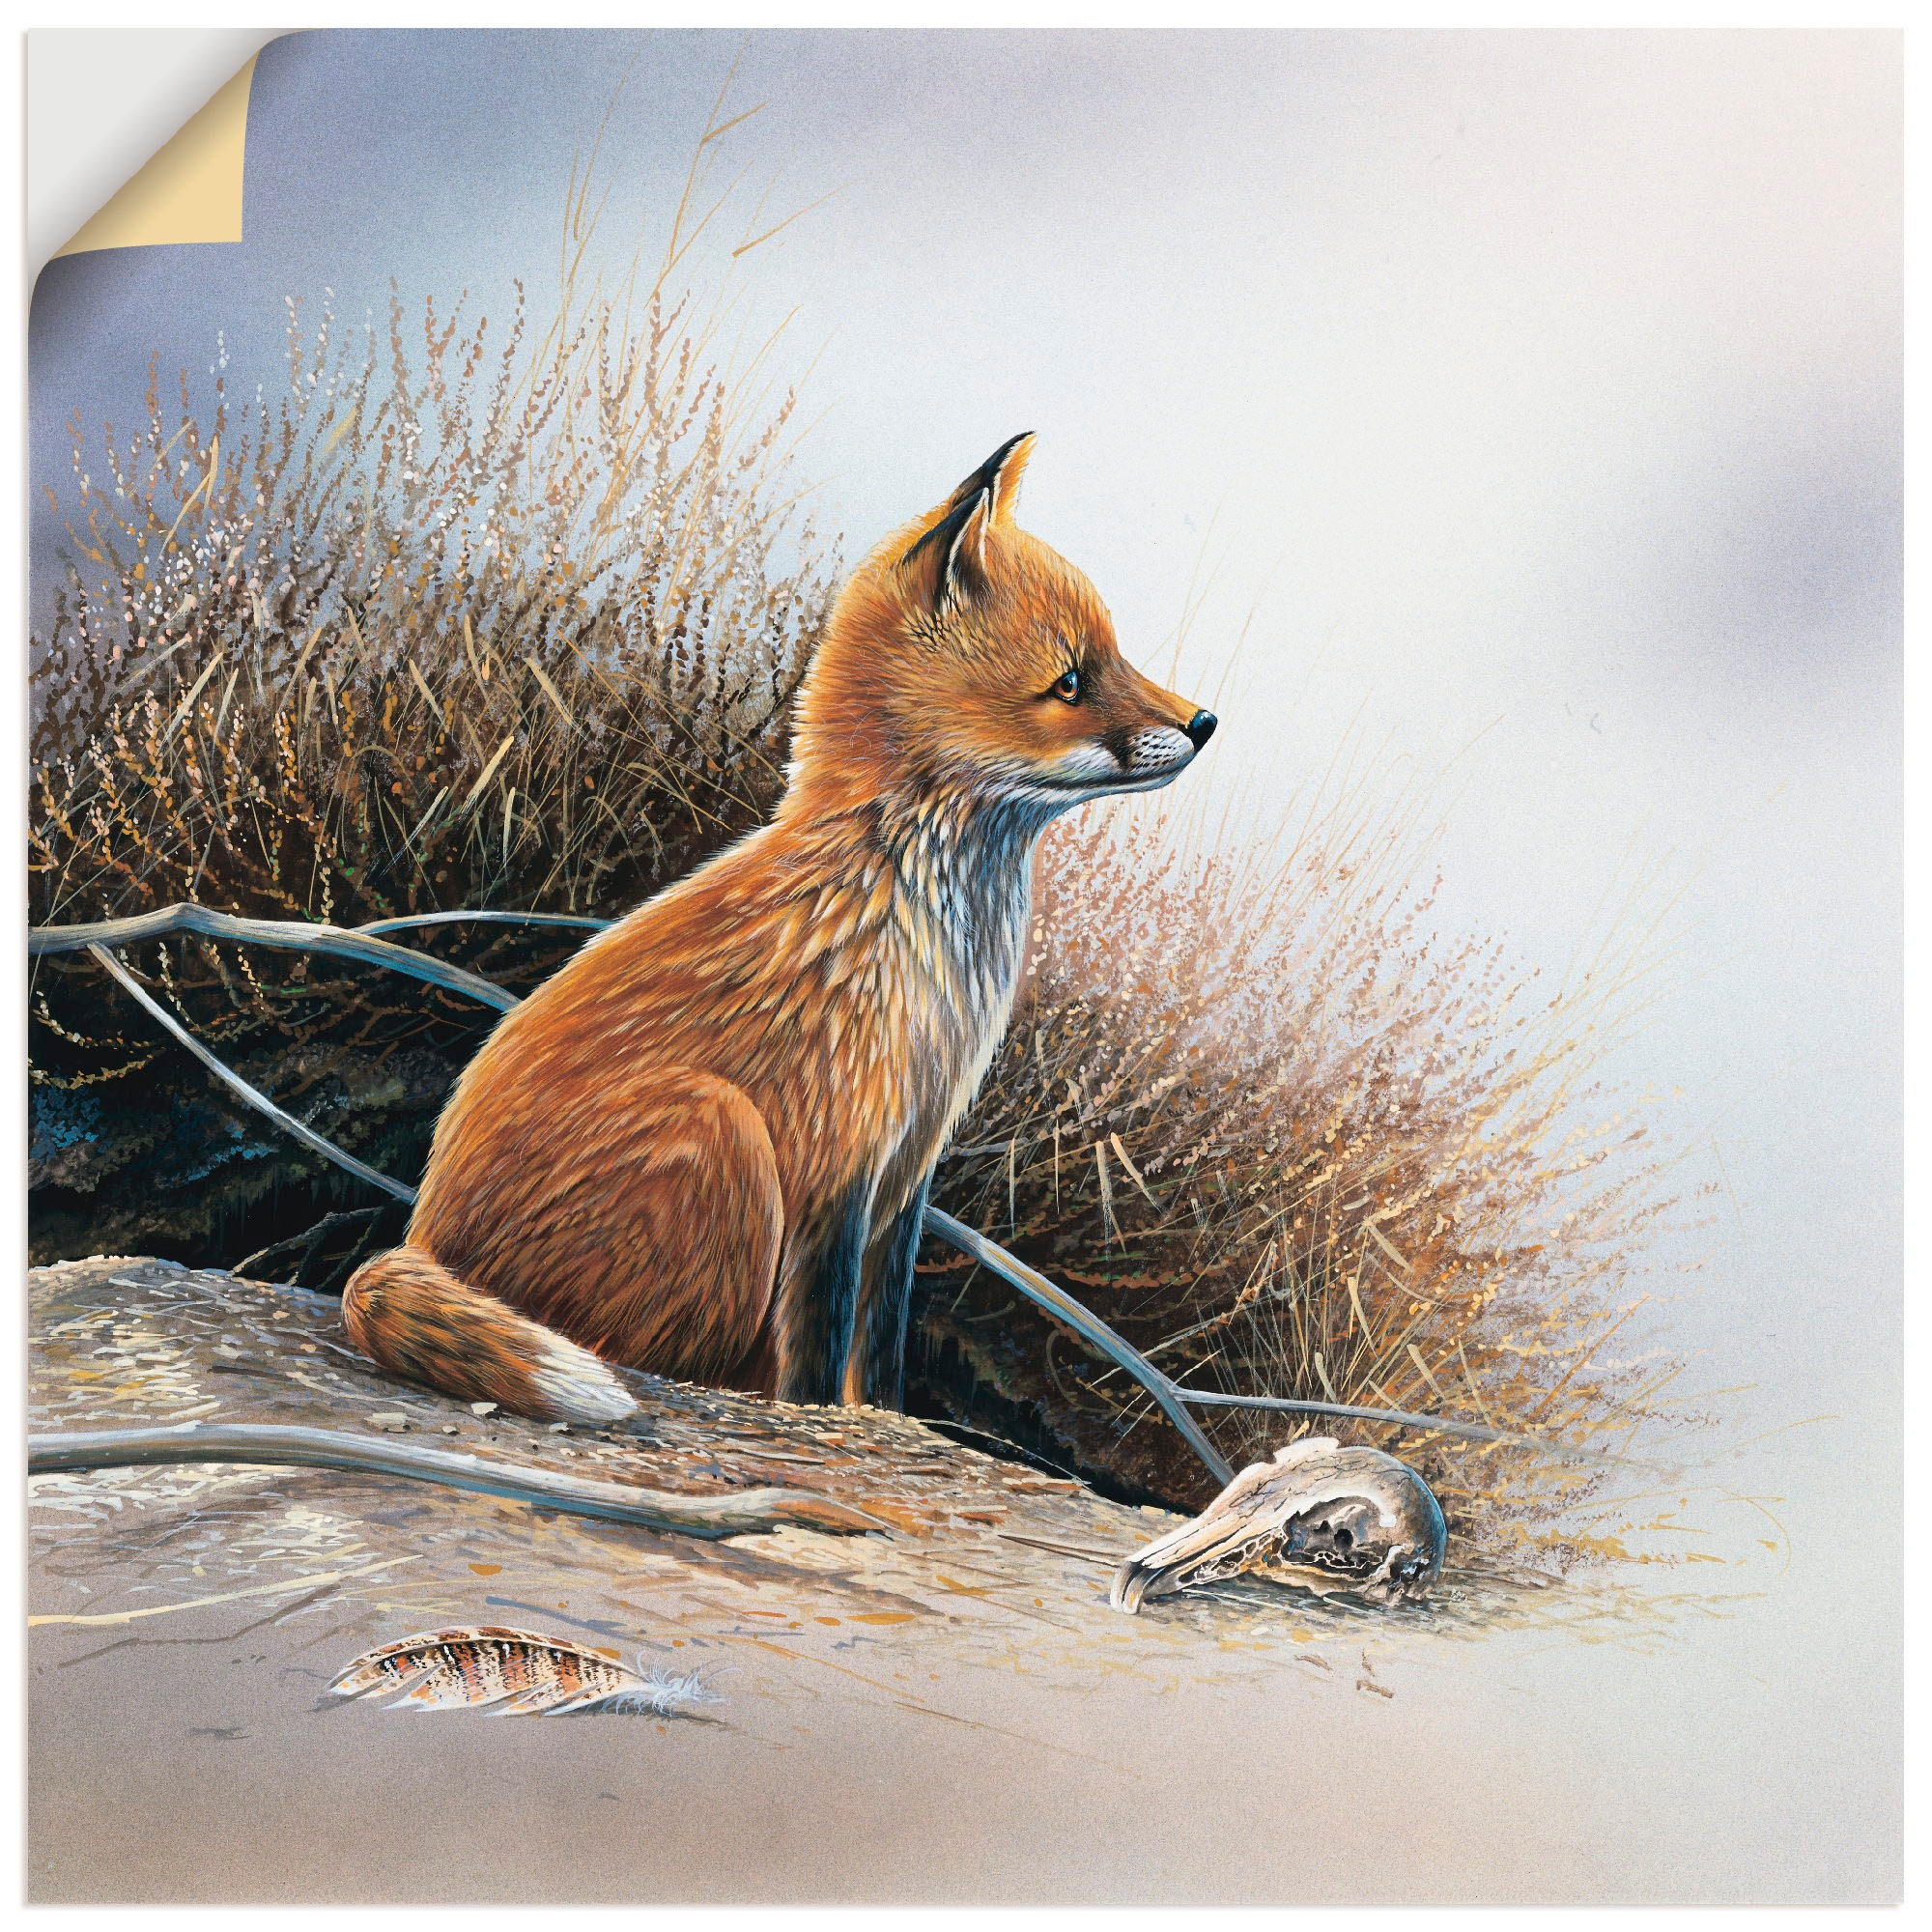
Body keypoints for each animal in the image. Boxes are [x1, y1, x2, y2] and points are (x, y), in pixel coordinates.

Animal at [342, 433, 1217, 1424]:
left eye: (1116, 655)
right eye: (1070, 682)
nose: (1204, 722)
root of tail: (421, 1235)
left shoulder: (906, 1180)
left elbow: (879, 1354)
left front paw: (884, 1424)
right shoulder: (836, 1171)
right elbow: (818, 1358)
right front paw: (825, 1425)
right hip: (719, 1133)